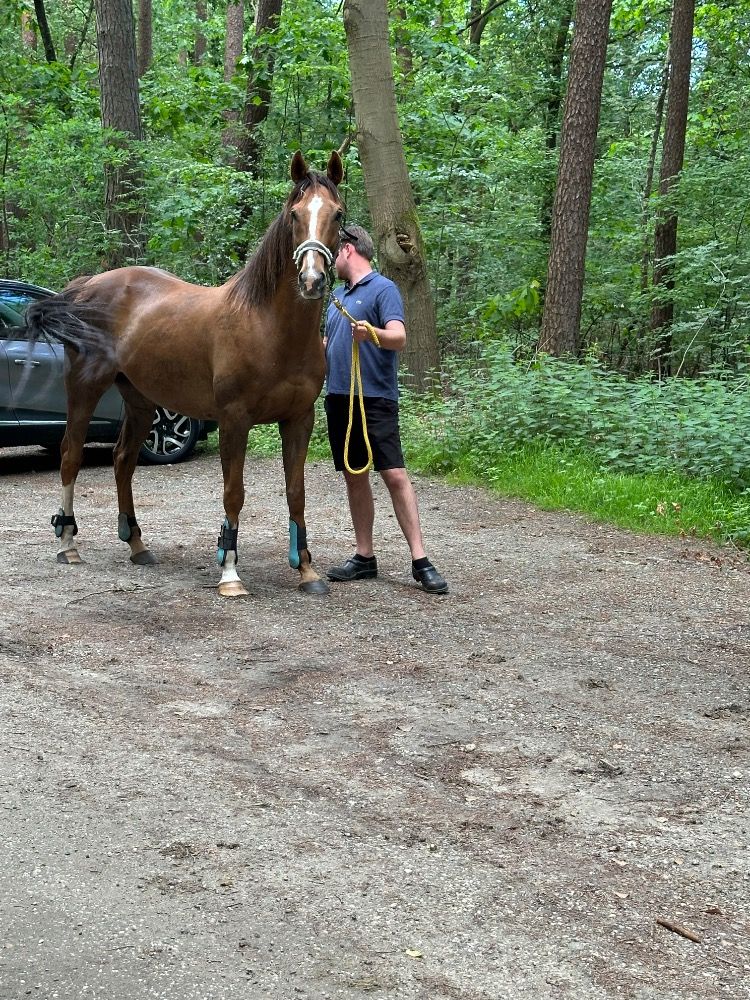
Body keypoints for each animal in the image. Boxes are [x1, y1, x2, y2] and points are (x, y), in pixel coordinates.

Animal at [24, 150, 345, 597]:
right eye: (295, 214)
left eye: (337, 214)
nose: (312, 280)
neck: (269, 326)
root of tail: (86, 286)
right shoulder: (234, 419)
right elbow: (233, 493)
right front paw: (229, 573)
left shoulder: (299, 418)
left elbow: (296, 493)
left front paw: (308, 571)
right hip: (84, 389)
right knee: (71, 455)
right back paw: (68, 544)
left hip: (140, 402)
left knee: (123, 461)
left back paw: (137, 545)